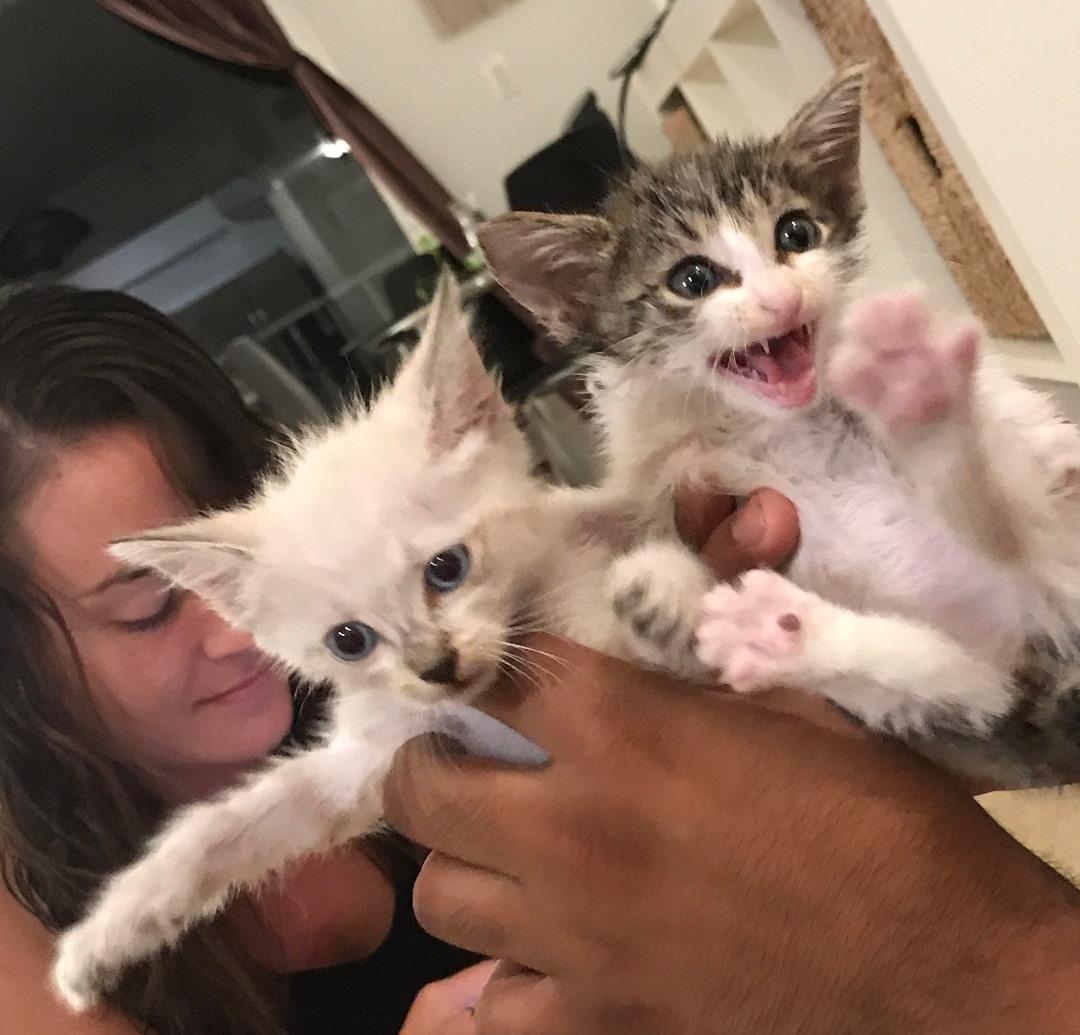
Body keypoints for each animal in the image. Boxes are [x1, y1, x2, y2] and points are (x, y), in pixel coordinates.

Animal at [477, 65, 1080, 789]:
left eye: (795, 234)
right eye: (693, 278)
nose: (781, 298)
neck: (776, 427)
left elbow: (1029, 452)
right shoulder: (659, 484)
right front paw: (667, 600)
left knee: (1011, 516)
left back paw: (923, 398)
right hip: (966, 701)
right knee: (959, 669)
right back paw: (783, 628)